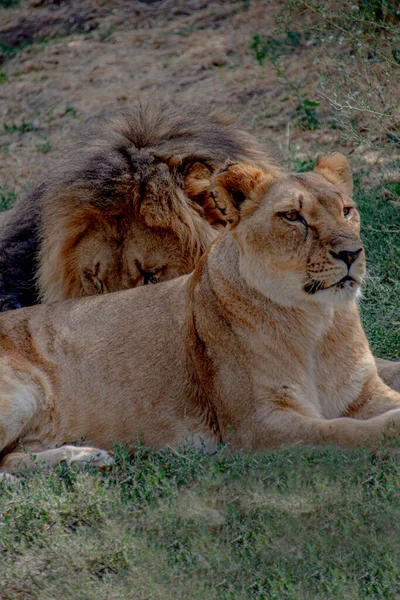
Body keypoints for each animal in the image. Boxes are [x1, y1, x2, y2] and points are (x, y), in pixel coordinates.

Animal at [0, 155, 400, 478]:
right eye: (292, 216)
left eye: (347, 210)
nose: (352, 253)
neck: (319, 322)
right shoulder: (258, 426)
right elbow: (343, 430)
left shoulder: (363, 393)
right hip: (20, 394)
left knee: (12, 458)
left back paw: (86, 457)